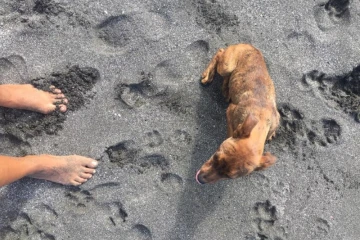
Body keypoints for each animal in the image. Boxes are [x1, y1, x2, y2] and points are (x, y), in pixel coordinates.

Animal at [195, 43, 280, 184]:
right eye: (216, 156)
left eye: (229, 176)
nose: (200, 179)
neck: (261, 121)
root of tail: (249, 45)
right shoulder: (230, 111)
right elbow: (231, 131)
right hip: (227, 66)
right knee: (219, 53)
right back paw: (208, 75)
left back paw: (226, 88)